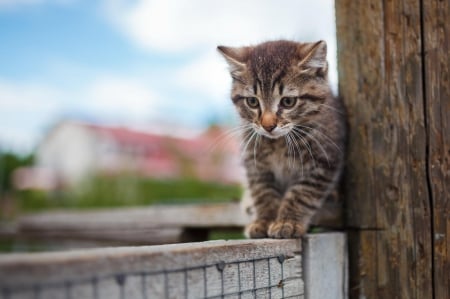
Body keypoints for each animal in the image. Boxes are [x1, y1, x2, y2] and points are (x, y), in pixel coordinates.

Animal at [217, 39, 344, 240]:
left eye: (288, 102)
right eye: (252, 102)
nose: (268, 126)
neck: (279, 143)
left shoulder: (324, 161)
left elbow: (302, 193)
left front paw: (287, 222)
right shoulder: (255, 162)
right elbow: (263, 192)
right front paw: (265, 220)